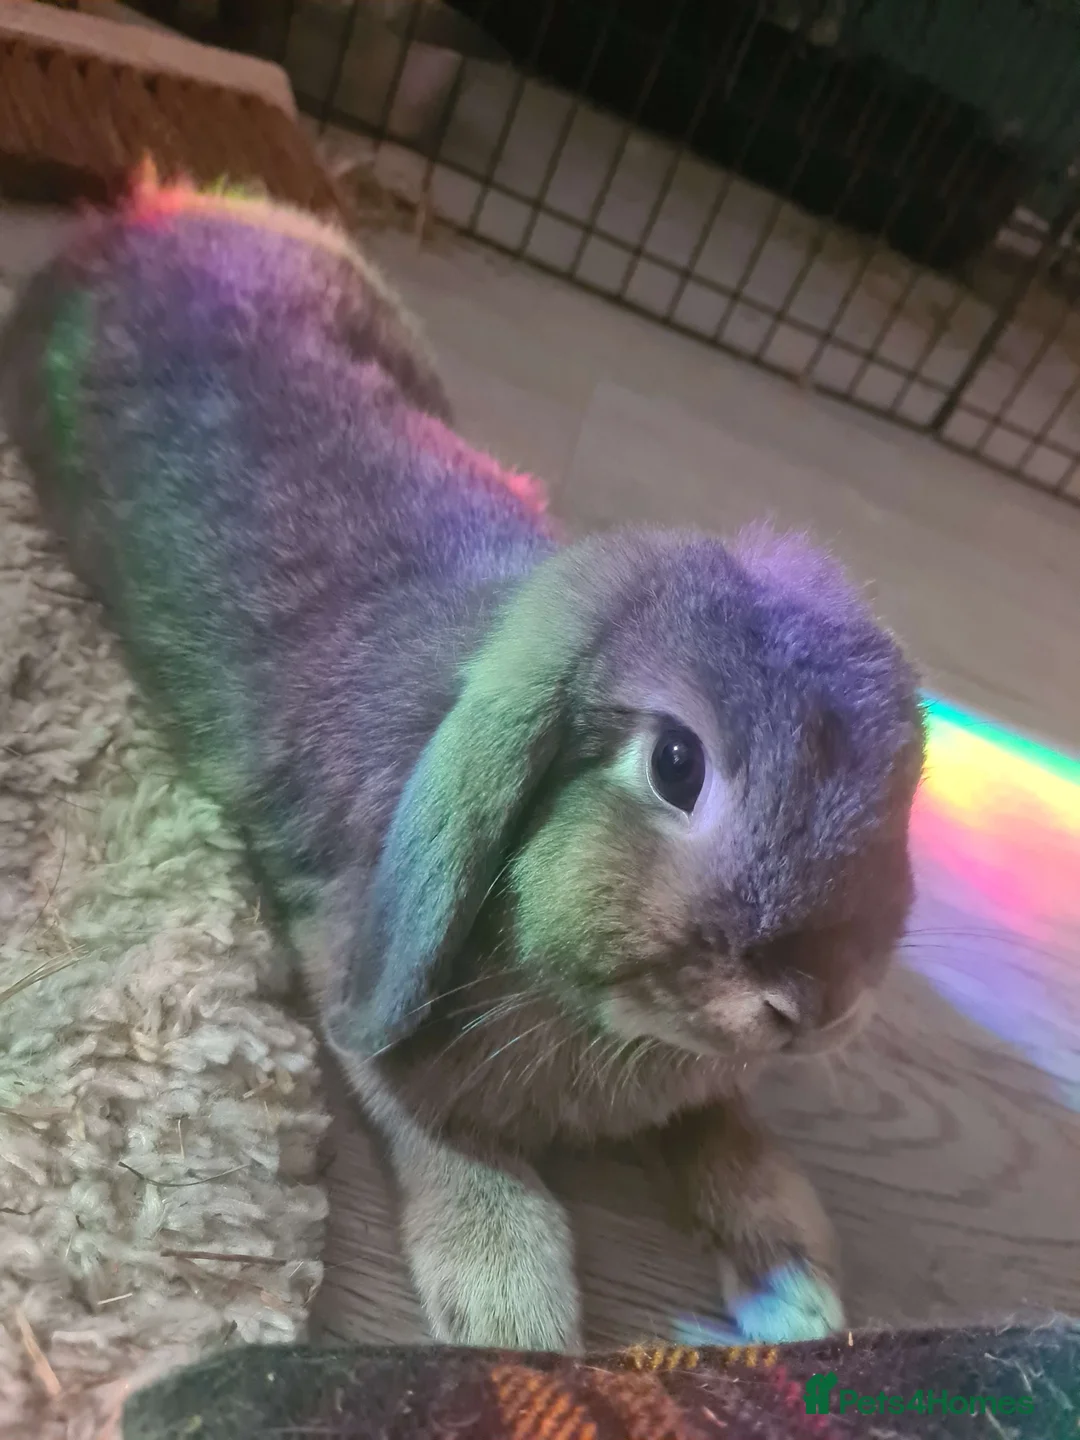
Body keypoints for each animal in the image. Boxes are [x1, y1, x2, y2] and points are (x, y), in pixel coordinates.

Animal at [0, 178, 926, 1354]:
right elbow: (451, 1144)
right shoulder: (357, 983)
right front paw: (514, 1321)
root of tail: (151, 210)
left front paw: (796, 1295)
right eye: (677, 764)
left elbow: (732, 1137)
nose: (818, 1002)